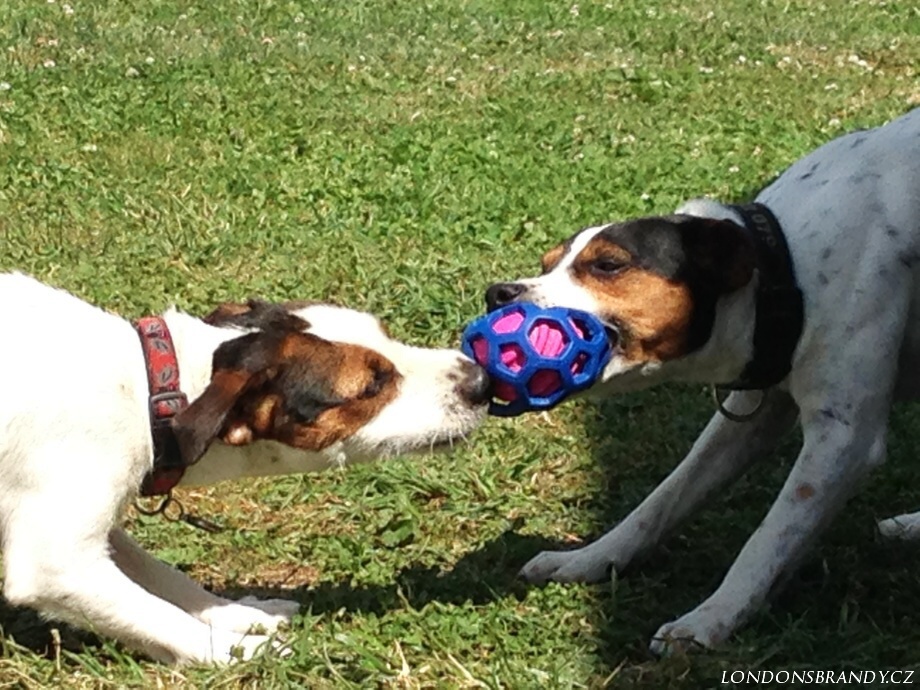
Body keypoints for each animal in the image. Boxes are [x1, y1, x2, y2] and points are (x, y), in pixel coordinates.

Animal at [0, 272, 488, 664]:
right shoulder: (54, 562)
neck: (147, 389)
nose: (481, 380)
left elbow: (165, 578)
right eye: (371, 386)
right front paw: (243, 651)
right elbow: (159, 616)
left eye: (385, 334)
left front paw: (242, 615)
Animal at [488, 107, 920, 652]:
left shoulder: (841, 439)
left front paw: (709, 620)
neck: (783, 270)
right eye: (546, 264)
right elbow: (664, 499)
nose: (498, 293)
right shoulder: (752, 412)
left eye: (607, 265)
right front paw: (588, 560)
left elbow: (768, 540)